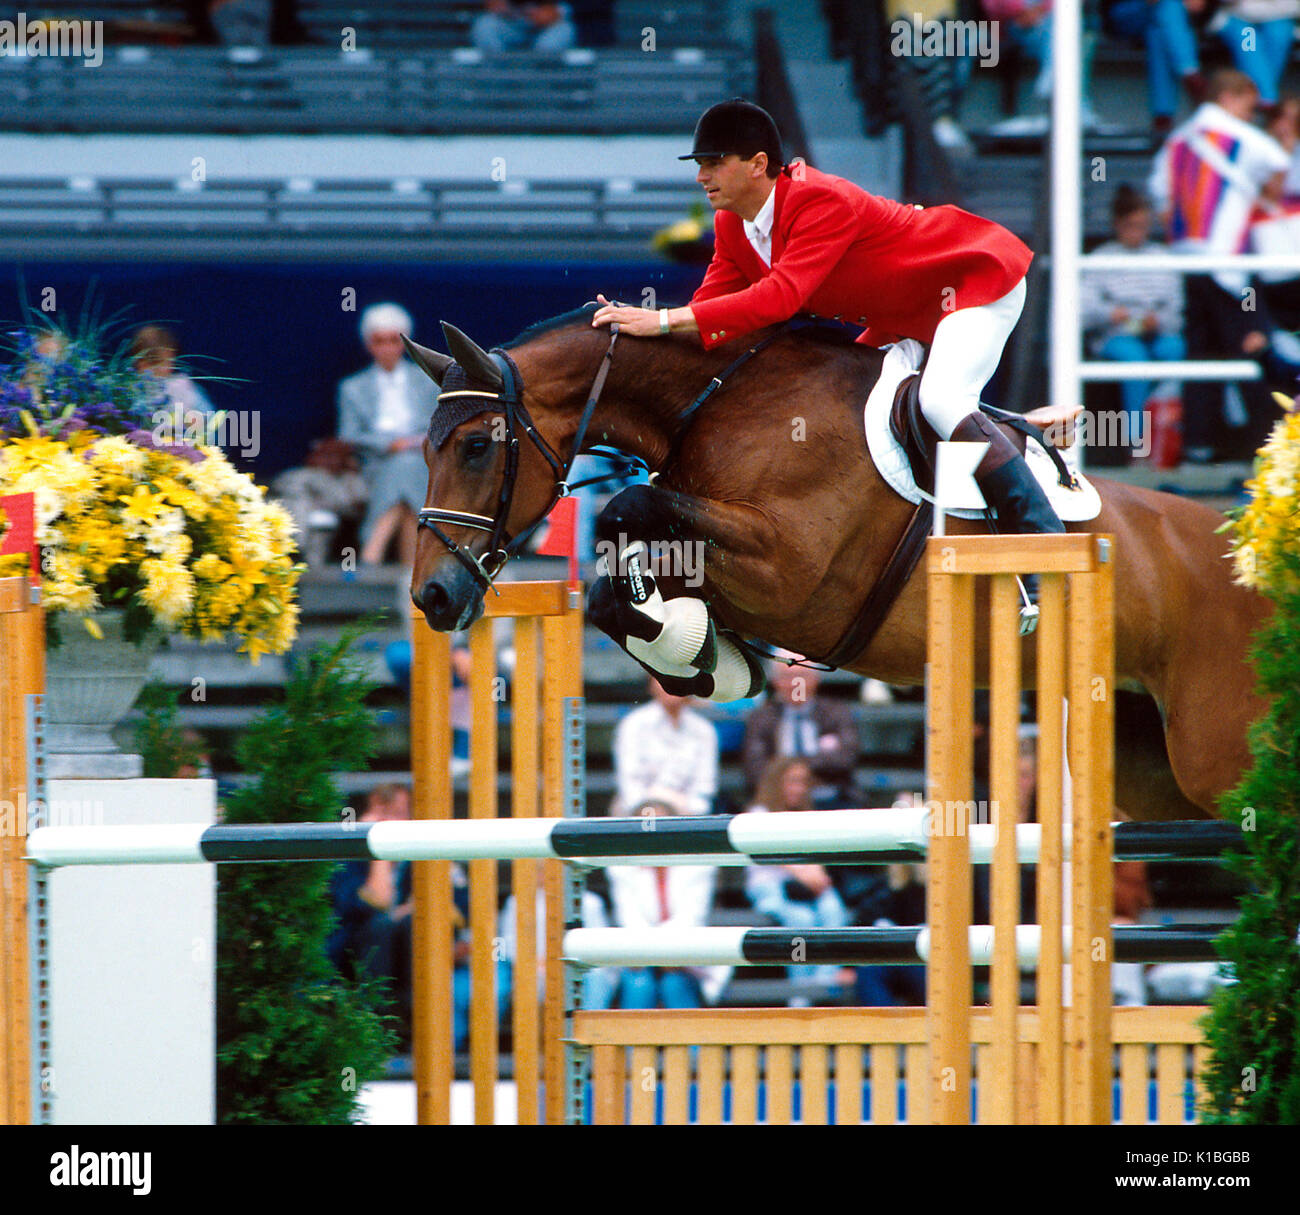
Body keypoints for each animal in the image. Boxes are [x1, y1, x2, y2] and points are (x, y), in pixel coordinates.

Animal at [403, 301, 1268, 826]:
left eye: (476, 446)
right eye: (426, 451)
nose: (433, 596)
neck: (710, 402)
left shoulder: (790, 568)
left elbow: (627, 508)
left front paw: (700, 652)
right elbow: (623, 578)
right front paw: (708, 659)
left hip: (1216, 752)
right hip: (1153, 772)